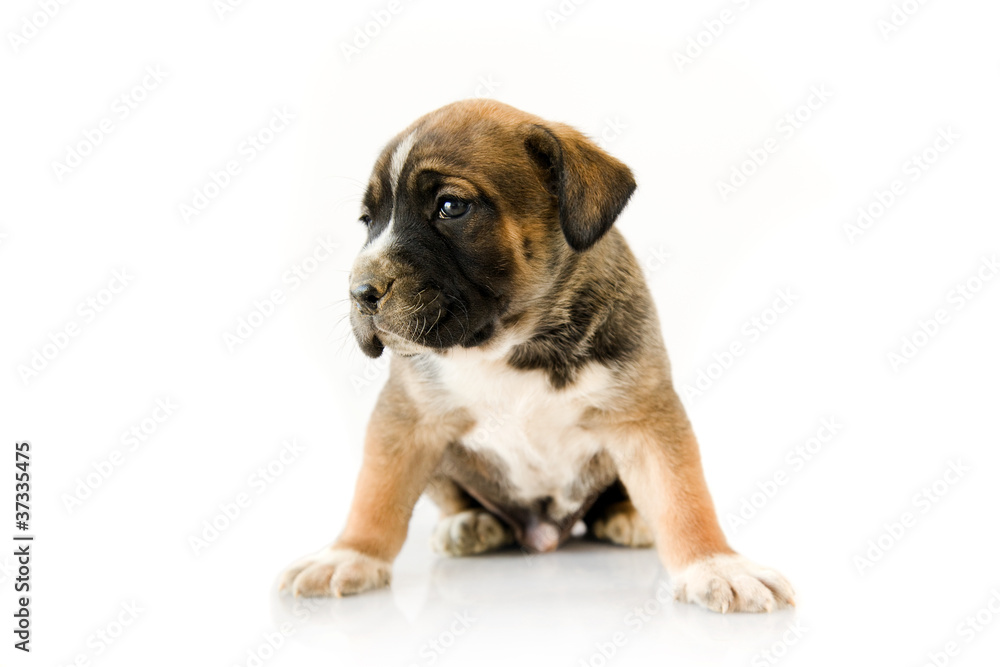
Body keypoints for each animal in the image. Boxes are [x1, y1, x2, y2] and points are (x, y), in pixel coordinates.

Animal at [278, 96, 792, 612]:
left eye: (451, 207)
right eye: (368, 222)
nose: (360, 292)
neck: (514, 343)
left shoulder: (644, 418)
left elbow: (681, 497)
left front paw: (716, 564)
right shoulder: (406, 419)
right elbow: (376, 494)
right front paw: (348, 554)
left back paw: (626, 516)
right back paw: (469, 523)